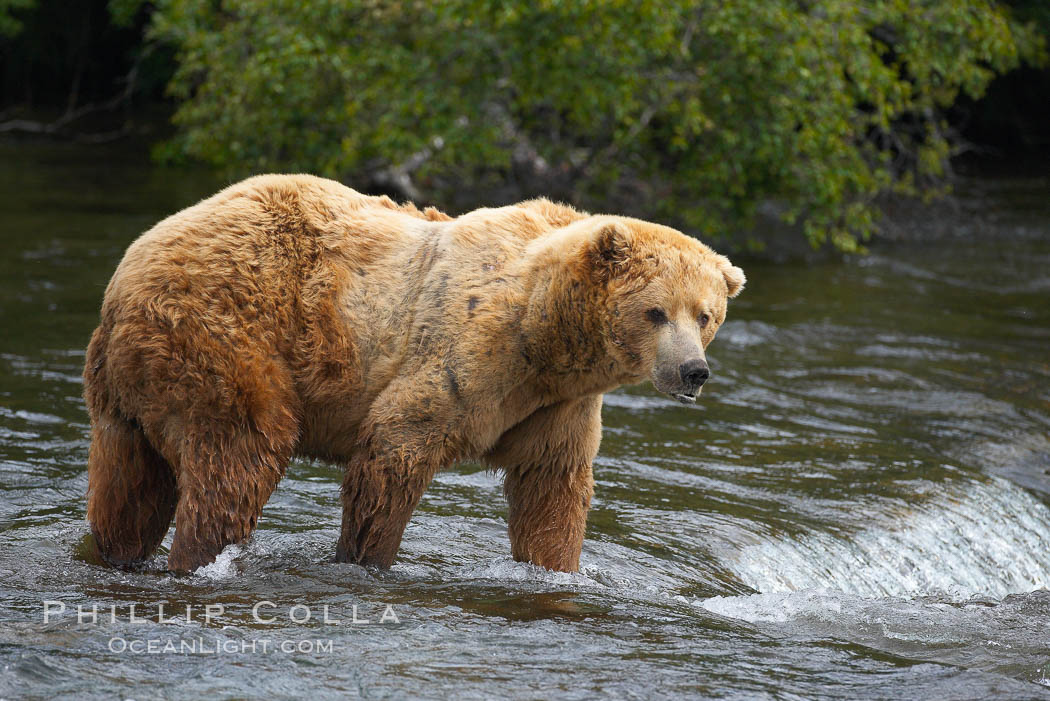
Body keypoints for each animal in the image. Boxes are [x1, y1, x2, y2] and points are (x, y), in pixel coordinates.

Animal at [81, 172, 743, 570]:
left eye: (705, 314)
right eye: (656, 310)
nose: (693, 370)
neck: (546, 335)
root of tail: (127, 271)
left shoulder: (557, 407)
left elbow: (553, 491)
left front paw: (555, 567)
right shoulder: (470, 358)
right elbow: (393, 452)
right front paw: (365, 556)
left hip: (130, 386)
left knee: (128, 484)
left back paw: (115, 552)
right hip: (224, 333)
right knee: (239, 455)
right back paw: (200, 555)